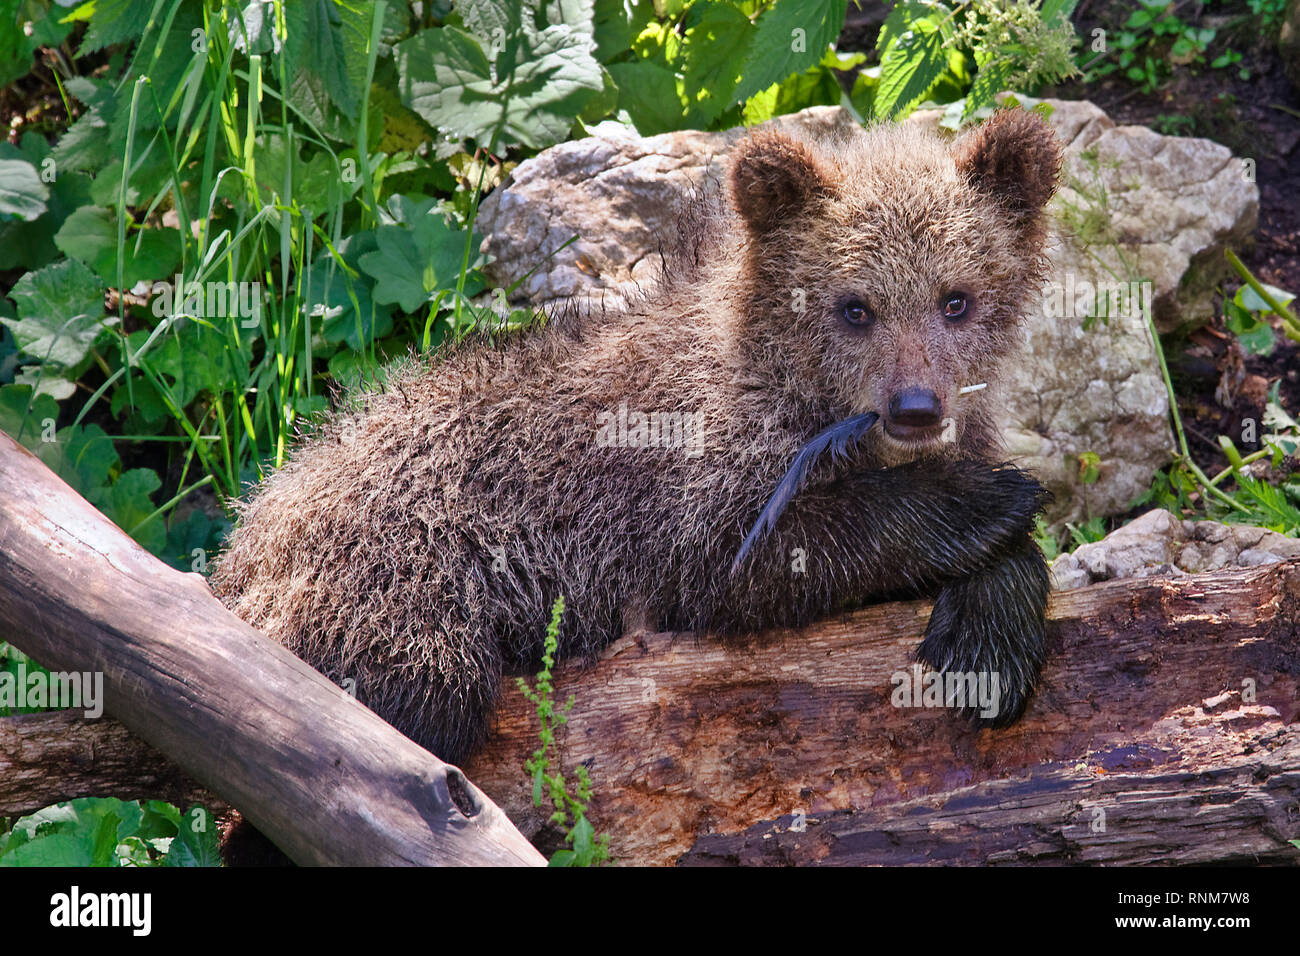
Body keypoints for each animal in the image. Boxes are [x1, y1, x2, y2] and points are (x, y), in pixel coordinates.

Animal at [211, 107, 1063, 770]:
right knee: (403, 703)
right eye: (855, 307)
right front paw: (980, 507)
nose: (914, 406)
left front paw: (990, 637)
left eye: (957, 298)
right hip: (397, 578)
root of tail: (244, 542)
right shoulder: (684, 493)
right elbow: (752, 559)